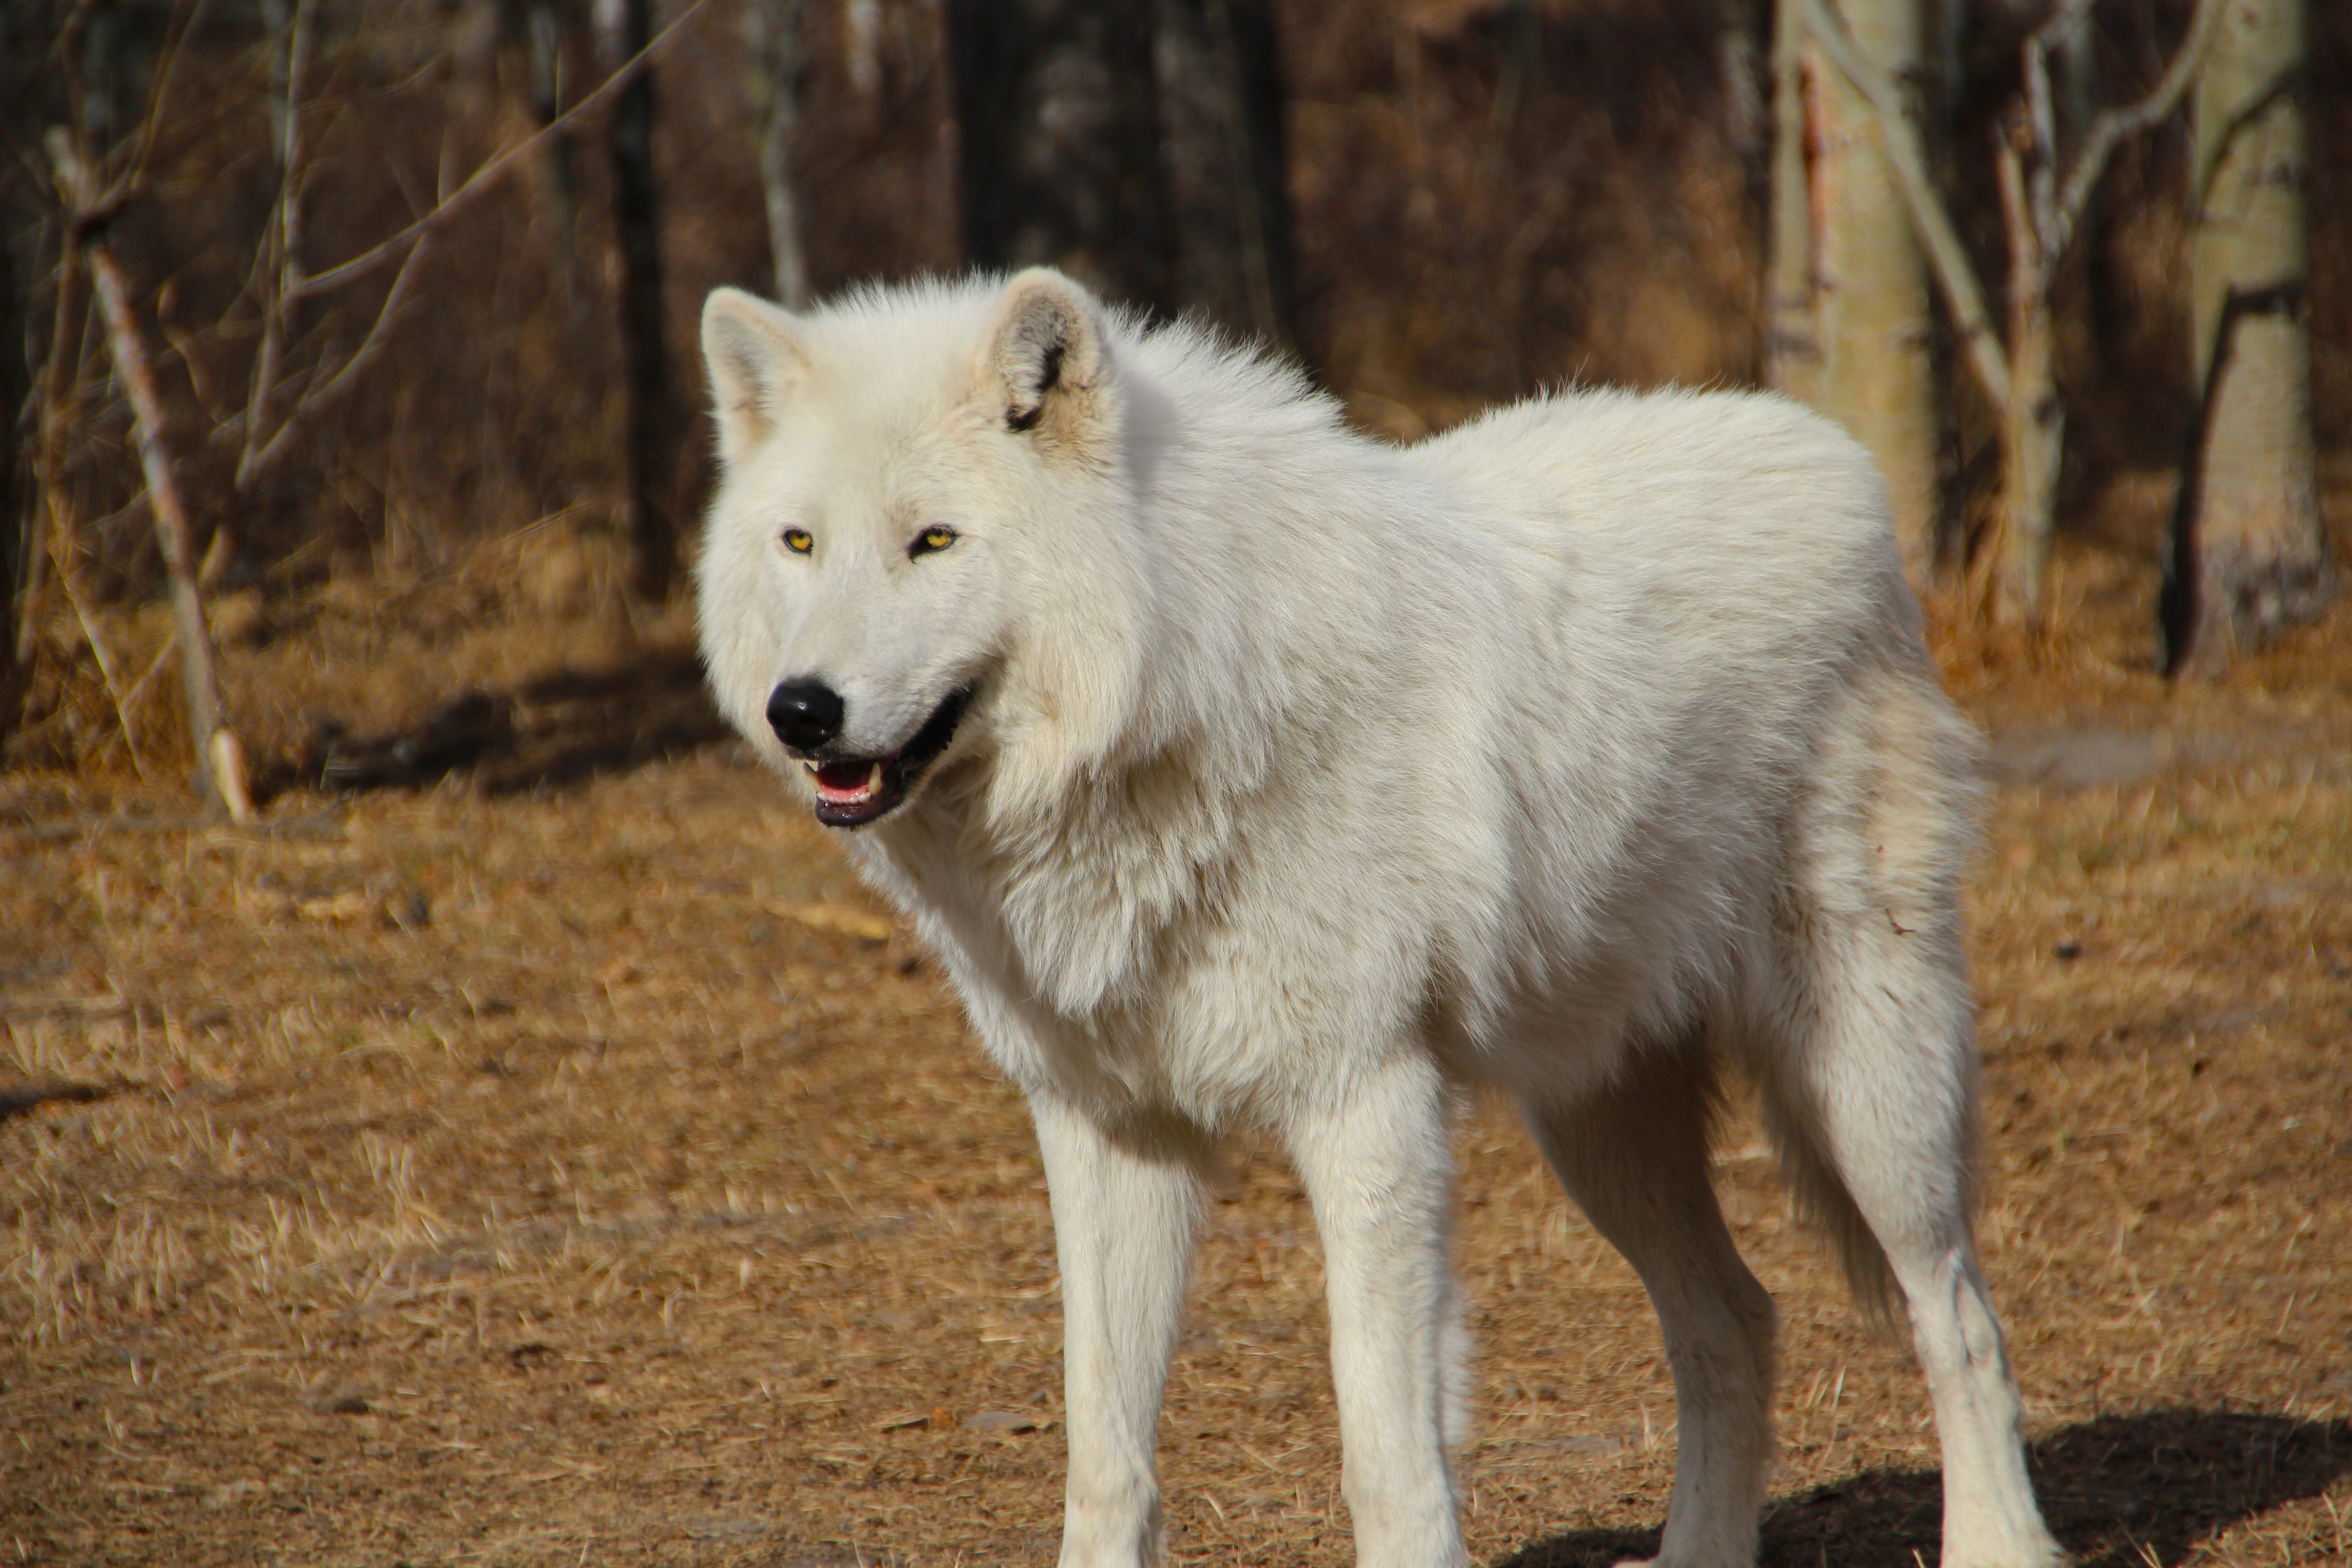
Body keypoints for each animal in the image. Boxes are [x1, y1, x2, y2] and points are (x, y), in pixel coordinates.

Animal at [691, 273, 2060, 1568]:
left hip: (1865, 1090)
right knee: (1737, 1322)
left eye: (933, 540)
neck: (1178, 701)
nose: (802, 709)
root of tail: (1833, 455)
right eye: (800, 541)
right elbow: (1104, 1452)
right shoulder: (1109, 1134)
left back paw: (1998, 1542)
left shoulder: (1369, 1106)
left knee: (1961, 1320)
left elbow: (1386, 1455)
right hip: (1599, 1128)